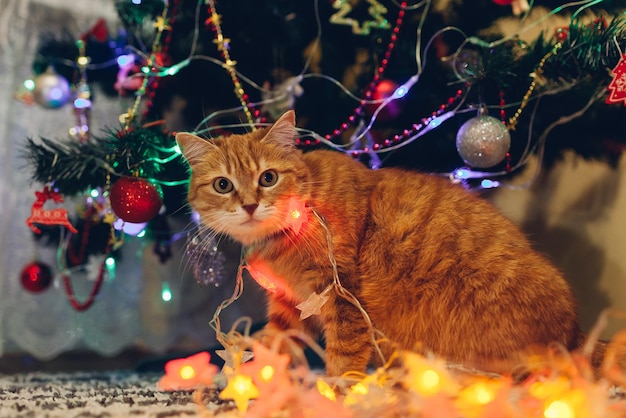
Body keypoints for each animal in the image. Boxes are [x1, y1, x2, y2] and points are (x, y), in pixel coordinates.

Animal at [176, 110, 580, 376]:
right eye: (223, 185)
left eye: (268, 178)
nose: (249, 205)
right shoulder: (290, 305)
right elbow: (276, 342)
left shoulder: (340, 295)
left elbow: (343, 357)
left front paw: (336, 395)